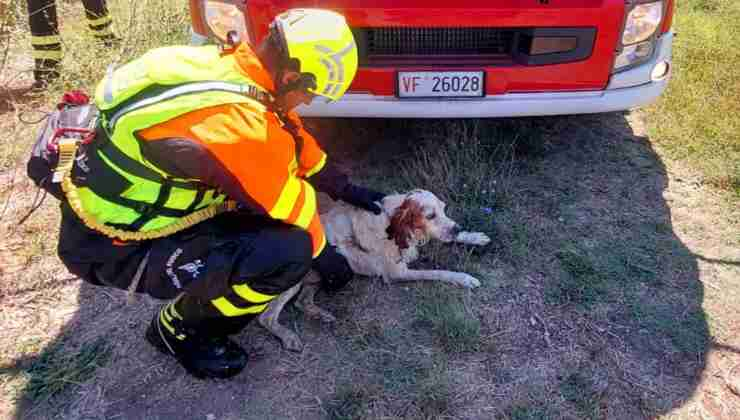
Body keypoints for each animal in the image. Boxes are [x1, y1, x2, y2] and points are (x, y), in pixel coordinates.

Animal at [258, 190, 492, 352]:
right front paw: (465, 278)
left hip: (324, 276)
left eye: (443, 209)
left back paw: (321, 315)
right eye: (430, 215)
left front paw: (473, 236)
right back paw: (288, 336)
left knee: (302, 302)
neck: (392, 224)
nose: (456, 228)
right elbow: (439, 272)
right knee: (266, 317)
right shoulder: (397, 272)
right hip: (294, 279)